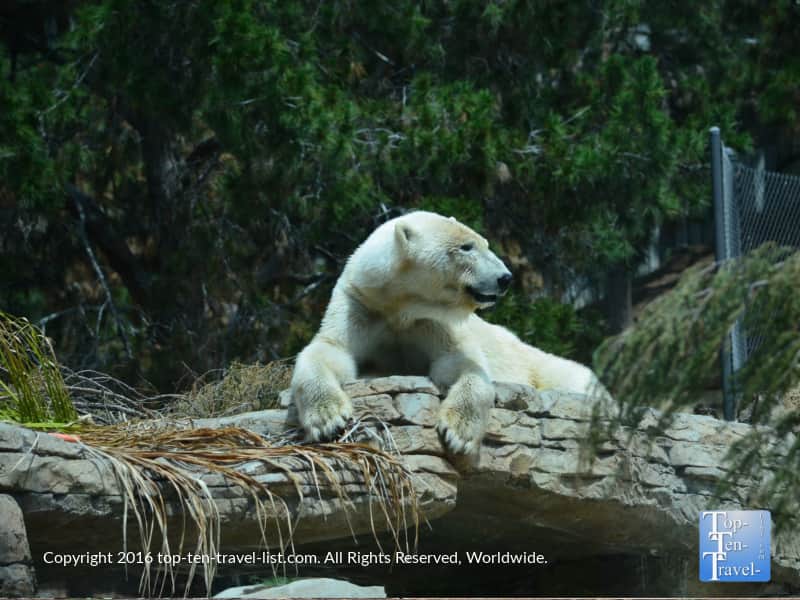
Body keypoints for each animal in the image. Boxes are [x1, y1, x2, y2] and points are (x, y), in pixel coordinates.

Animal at [290, 211, 603, 454]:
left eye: (484, 243)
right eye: (466, 247)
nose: (505, 278)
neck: (400, 306)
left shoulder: (433, 321)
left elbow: (460, 362)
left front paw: (457, 432)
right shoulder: (360, 305)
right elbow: (330, 349)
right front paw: (327, 418)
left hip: (536, 361)